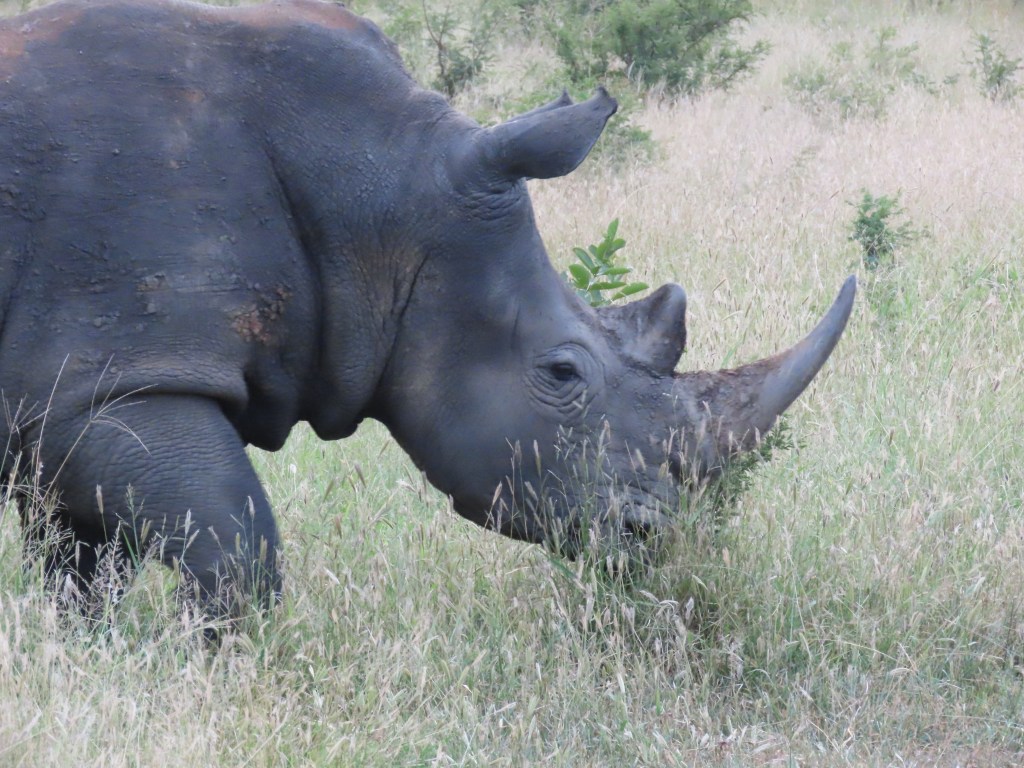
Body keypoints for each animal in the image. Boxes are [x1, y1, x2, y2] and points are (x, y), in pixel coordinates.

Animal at [0, 0, 854, 614]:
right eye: (562, 373)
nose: (651, 537)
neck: (381, 185)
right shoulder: (116, 383)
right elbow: (237, 544)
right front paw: (219, 678)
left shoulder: (78, 401)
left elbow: (84, 572)